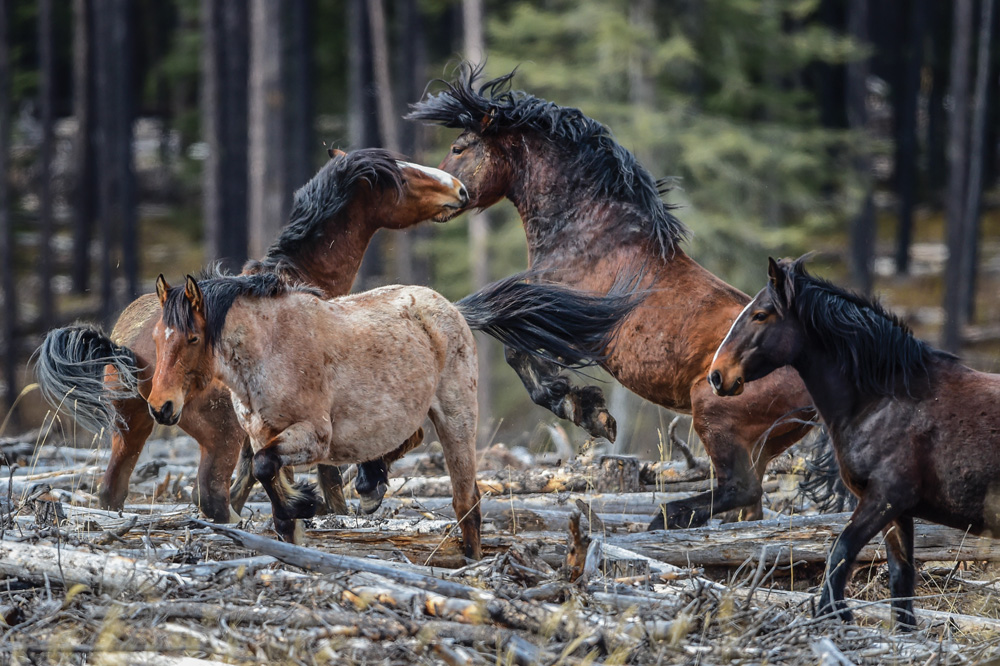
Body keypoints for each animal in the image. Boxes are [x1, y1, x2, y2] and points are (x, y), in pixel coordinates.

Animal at [35, 148, 468, 522]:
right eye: (404, 177)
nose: (460, 189)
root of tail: (127, 347)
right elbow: (362, 461)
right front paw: (365, 488)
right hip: (218, 439)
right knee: (209, 496)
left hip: (131, 429)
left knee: (113, 490)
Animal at [146, 271, 639, 556]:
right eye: (157, 336)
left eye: (192, 338)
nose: (160, 408)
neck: (271, 349)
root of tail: (453, 310)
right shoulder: (262, 433)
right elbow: (267, 479)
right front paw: (295, 522)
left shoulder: (314, 437)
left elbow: (267, 467)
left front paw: (304, 504)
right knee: (410, 442)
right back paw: (370, 484)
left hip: (456, 419)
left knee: (467, 502)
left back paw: (471, 562)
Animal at [407, 64, 814, 529]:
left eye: (459, 147)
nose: (437, 200)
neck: (590, 236)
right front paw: (586, 408)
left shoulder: (558, 314)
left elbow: (516, 353)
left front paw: (587, 411)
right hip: (760, 444)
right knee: (750, 501)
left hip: (714, 414)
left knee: (738, 488)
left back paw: (664, 518)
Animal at [708, 257, 1000, 628]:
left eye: (760, 314)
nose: (717, 375)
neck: (885, 399)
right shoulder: (897, 512)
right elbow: (900, 580)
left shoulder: (885, 498)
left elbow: (840, 553)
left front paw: (834, 612)